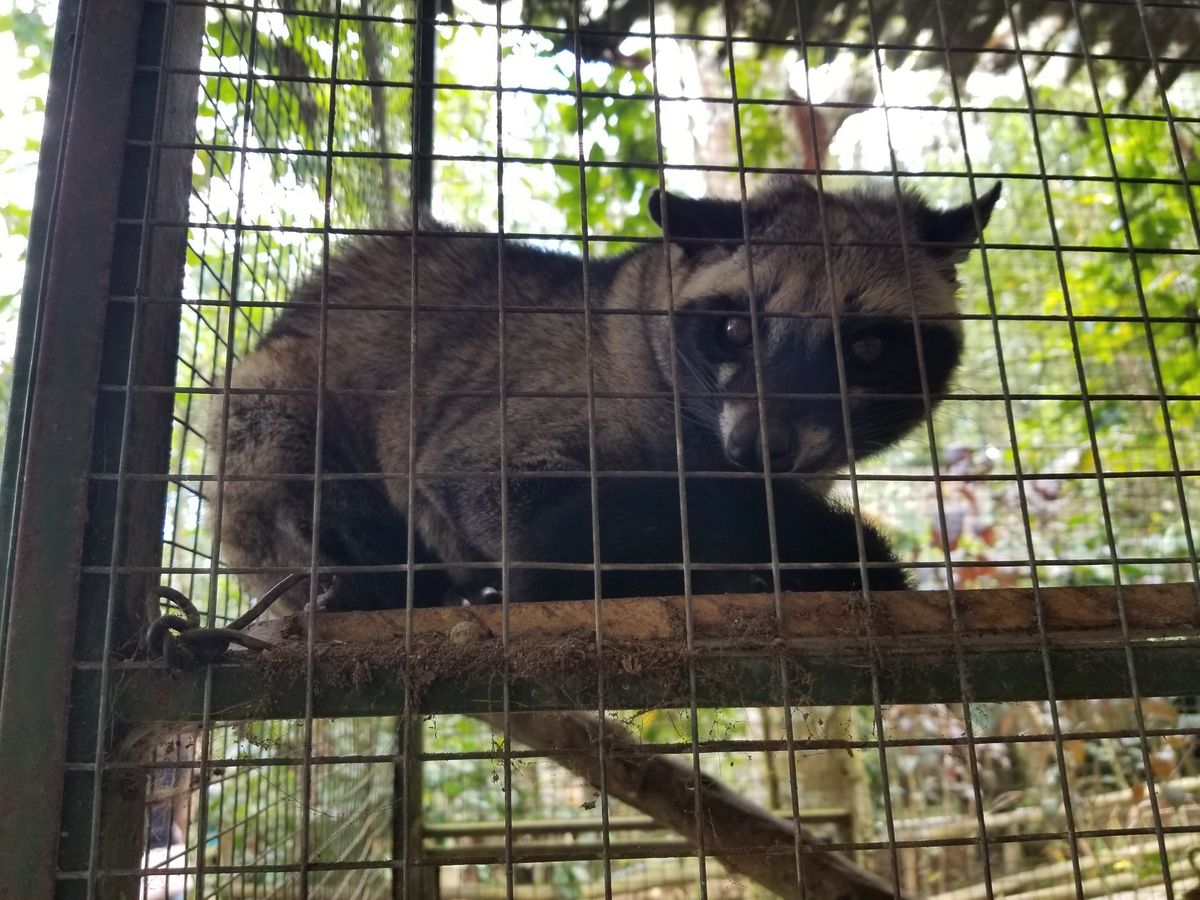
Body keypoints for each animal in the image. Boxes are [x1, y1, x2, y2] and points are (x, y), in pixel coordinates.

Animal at [207, 176, 999, 612]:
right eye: (734, 330)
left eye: (866, 349)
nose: (760, 446)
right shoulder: (542, 403)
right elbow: (496, 491)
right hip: (273, 408)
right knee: (274, 443)